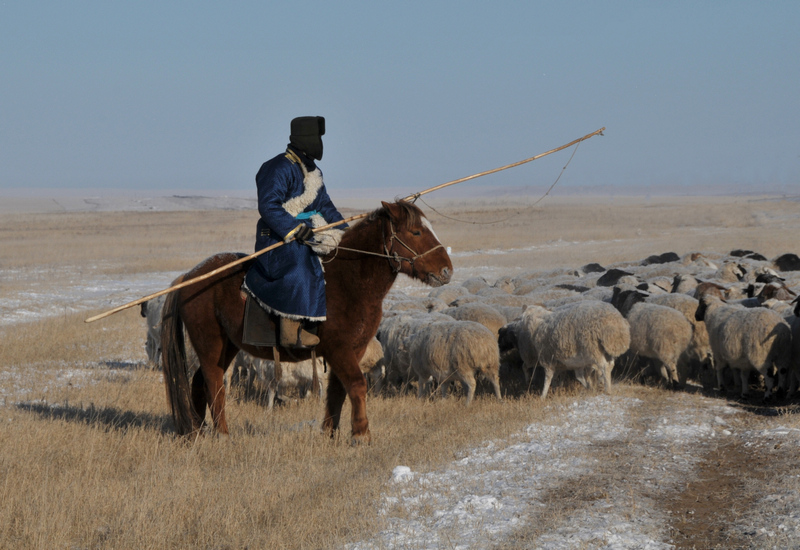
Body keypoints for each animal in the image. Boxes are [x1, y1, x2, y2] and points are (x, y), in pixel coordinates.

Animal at [159, 202, 454, 444]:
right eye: (416, 232)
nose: (446, 271)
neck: (349, 281)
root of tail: (189, 277)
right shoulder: (339, 349)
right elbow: (357, 385)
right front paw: (360, 434)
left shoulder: (351, 350)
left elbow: (337, 391)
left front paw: (330, 434)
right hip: (210, 344)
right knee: (214, 384)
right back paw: (222, 435)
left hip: (227, 346)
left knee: (199, 383)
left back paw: (196, 434)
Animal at [500, 302, 632, 402]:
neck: (536, 322)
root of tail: (615, 325)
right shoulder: (571, 362)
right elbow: (577, 377)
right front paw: (589, 388)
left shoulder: (547, 358)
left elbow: (548, 378)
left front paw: (542, 395)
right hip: (607, 350)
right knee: (610, 365)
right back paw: (603, 385)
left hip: (593, 349)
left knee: (604, 366)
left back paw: (607, 390)